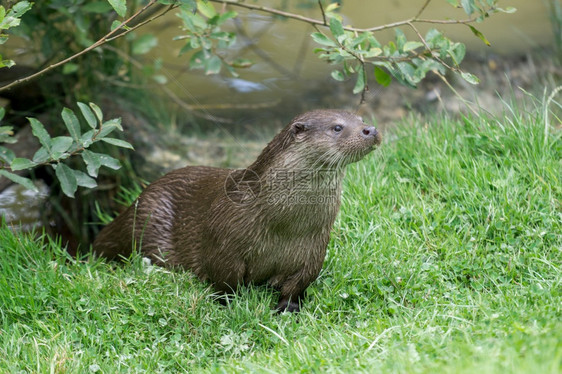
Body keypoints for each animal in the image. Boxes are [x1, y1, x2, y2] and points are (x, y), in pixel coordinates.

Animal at [93, 109, 380, 312]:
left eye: (361, 118)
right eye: (337, 127)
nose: (371, 129)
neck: (284, 225)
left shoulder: (314, 247)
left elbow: (298, 283)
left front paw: (288, 307)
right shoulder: (224, 244)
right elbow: (225, 281)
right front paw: (229, 304)